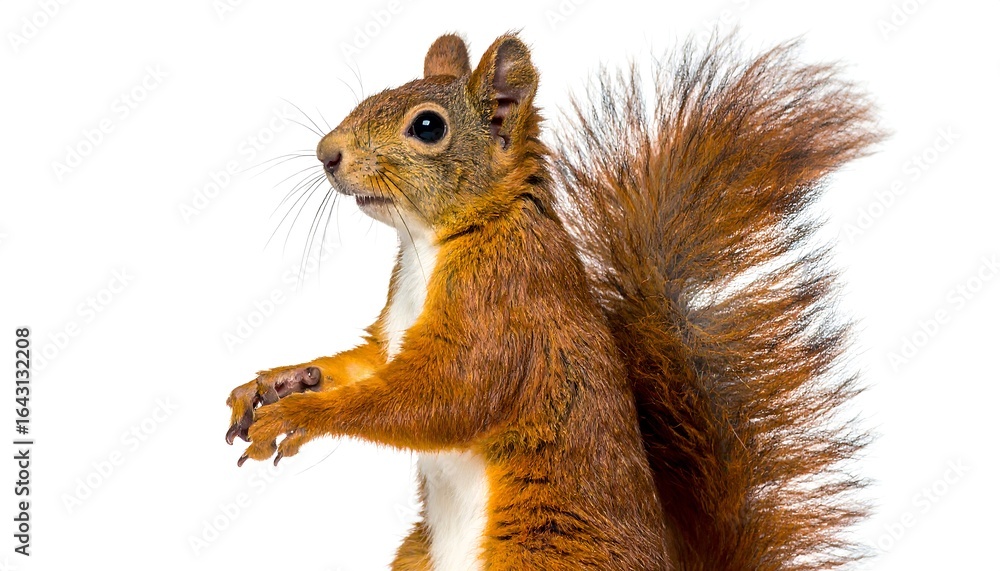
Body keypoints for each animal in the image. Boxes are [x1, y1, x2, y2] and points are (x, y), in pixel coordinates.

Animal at [224, 32, 882, 571]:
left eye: (428, 127)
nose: (325, 153)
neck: (432, 243)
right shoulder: (394, 330)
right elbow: (365, 368)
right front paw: (277, 383)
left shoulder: (502, 305)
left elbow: (442, 399)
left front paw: (304, 415)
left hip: (543, 554)